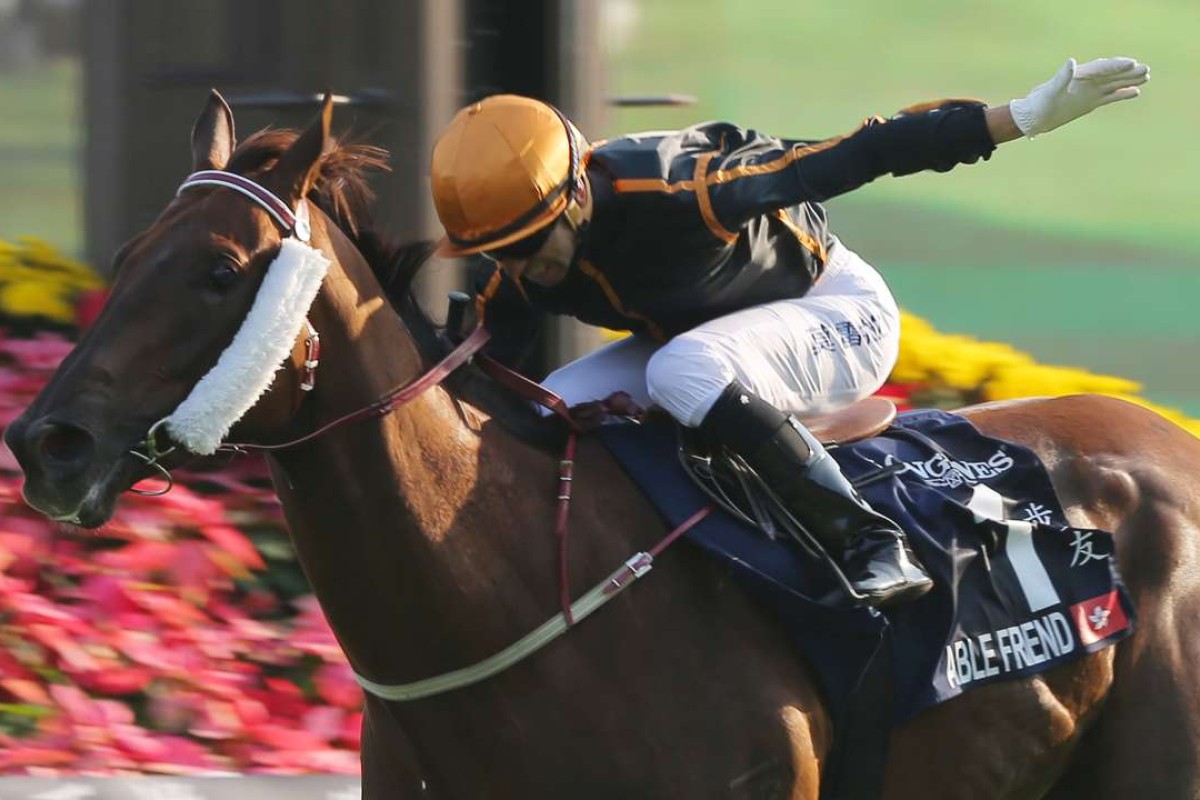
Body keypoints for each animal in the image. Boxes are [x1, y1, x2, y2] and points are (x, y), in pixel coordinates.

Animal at [7, 90, 1200, 796]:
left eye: (219, 271)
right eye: (129, 252)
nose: (44, 441)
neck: (506, 592)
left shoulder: (705, 192)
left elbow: (828, 158)